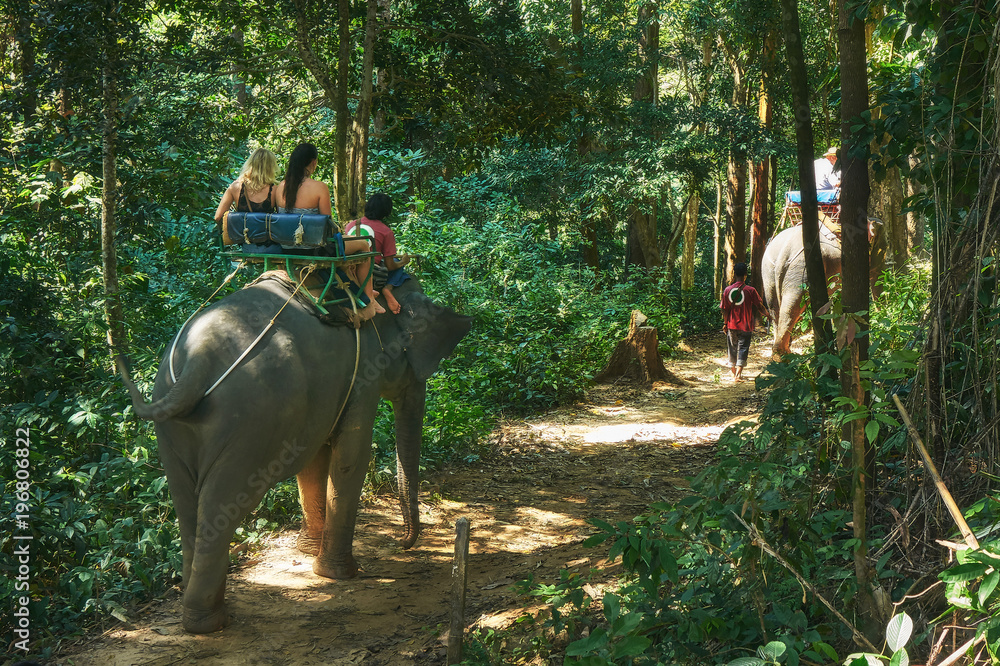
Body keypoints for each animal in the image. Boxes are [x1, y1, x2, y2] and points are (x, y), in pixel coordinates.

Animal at [119, 276, 471, 633]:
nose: (402, 542)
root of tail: (196, 361)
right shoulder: (363, 372)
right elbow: (351, 456)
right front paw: (339, 574)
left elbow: (314, 458)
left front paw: (310, 551)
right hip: (248, 422)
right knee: (221, 508)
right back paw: (210, 623)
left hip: (171, 427)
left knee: (185, 503)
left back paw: (201, 615)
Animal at [761, 220, 885, 356]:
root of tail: (784, 251)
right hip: (800, 267)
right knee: (793, 306)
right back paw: (784, 354)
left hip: (768, 270)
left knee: (774, 307)